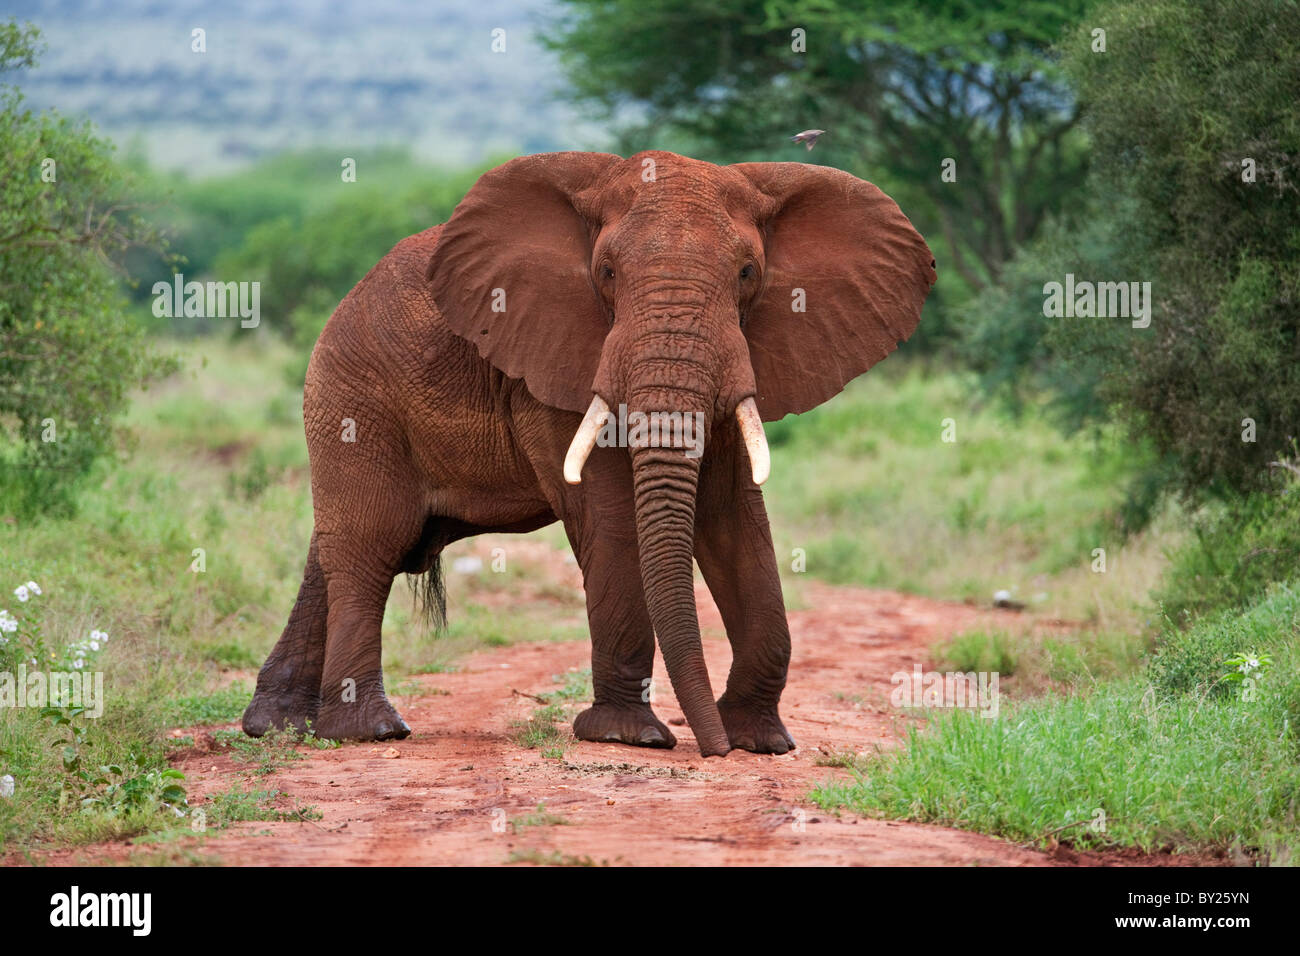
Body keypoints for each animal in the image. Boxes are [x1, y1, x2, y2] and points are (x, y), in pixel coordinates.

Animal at [241, 151, 935, 754]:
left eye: (747, 274)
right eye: (606, 274)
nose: (710, 750)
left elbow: (735, 520)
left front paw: (762, 743)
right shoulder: (557, 359)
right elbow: (612, 515)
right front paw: (632, 736)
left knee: (335, 548)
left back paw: (276, 726)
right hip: (353, 397)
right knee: (372, 543)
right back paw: (370, 731)